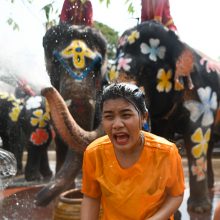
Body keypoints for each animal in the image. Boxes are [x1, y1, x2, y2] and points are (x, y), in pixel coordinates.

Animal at [105, 20, 220, 213]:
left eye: (147, 70)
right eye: (110, 73)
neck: (180, 44)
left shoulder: (202, 95)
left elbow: (196, 135)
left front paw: (198, 210)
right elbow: (162, 135)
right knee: (210, 143)